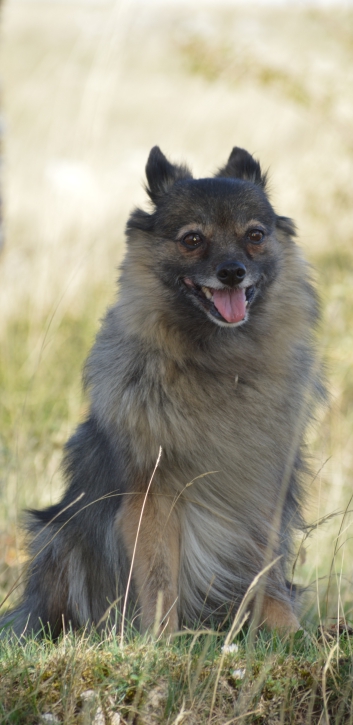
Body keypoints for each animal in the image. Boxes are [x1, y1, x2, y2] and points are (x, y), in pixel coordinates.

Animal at [0, 146, 320, 632]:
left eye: (255, 235)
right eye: (192, 240)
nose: (232, 272)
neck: (218, 365)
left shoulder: (262, 494)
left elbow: (268, 574)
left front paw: (289, 634)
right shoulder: (153, 498)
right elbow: (159, 579)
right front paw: (161, 639)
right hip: (60, 535)